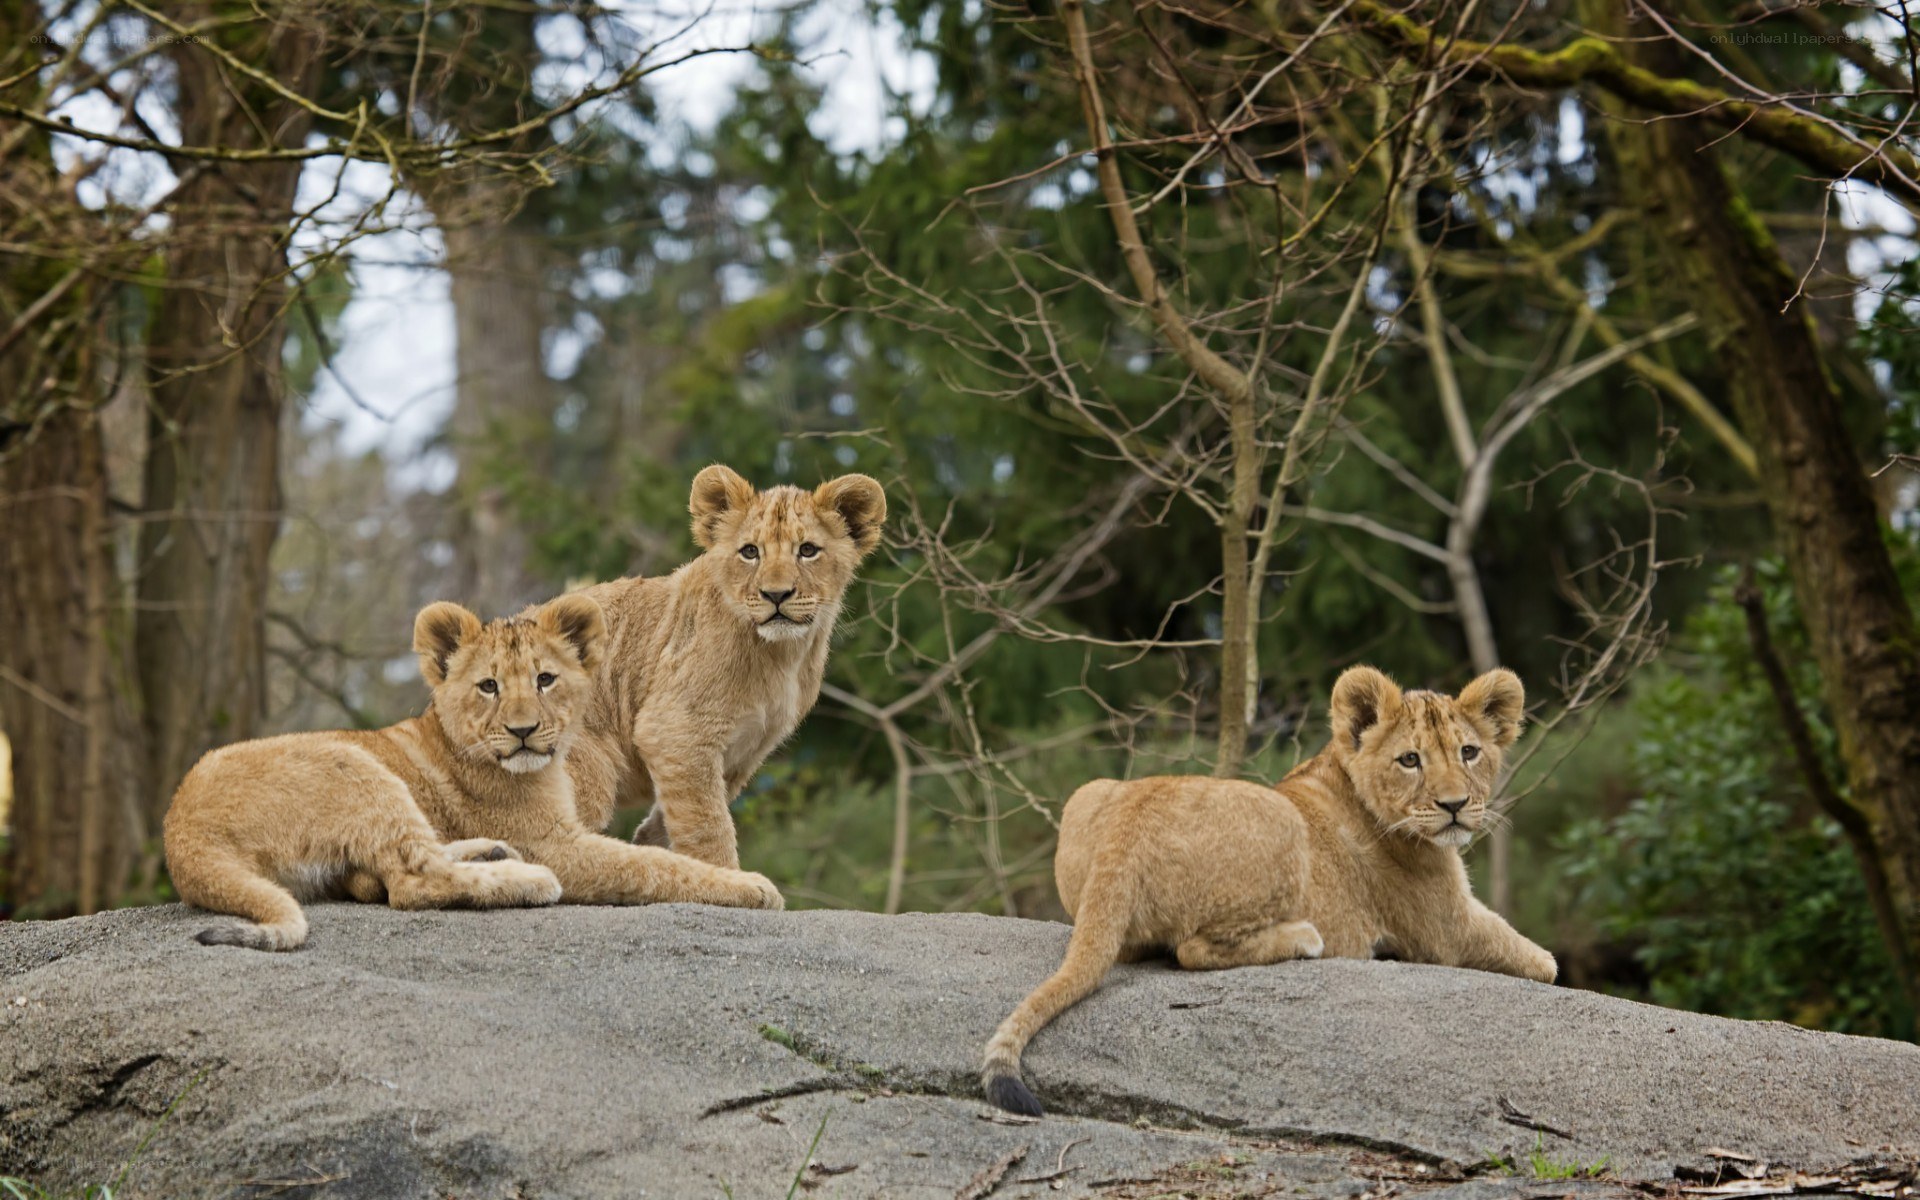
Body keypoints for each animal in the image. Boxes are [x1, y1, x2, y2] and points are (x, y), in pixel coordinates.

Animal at [164, 594, 781, 951]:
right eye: (488, 686)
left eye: (545, 679)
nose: (523, 731)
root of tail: (181, 831)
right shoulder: (556, 843)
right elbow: (653, 865)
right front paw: (750, 885)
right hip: (355, 764)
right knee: (412, 883)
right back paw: (525, 879)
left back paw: (490, 853)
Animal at [553, 465, 887, 869]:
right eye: (750, 552)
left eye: (807, 550)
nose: (776, 595)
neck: (783, 656)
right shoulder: (674, 731)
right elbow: (708, 830)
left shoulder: (738, 755)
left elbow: (668, 825)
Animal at [980, 666, 1556, 1116]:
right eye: (1410, 760)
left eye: (1470, 752)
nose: (1455, 806)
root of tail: (1128, 827)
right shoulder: (1446, 929)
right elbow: (1540, 962)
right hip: (1281, 822)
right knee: (1192, 950)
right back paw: (1304, 938)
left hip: (1089, 793)